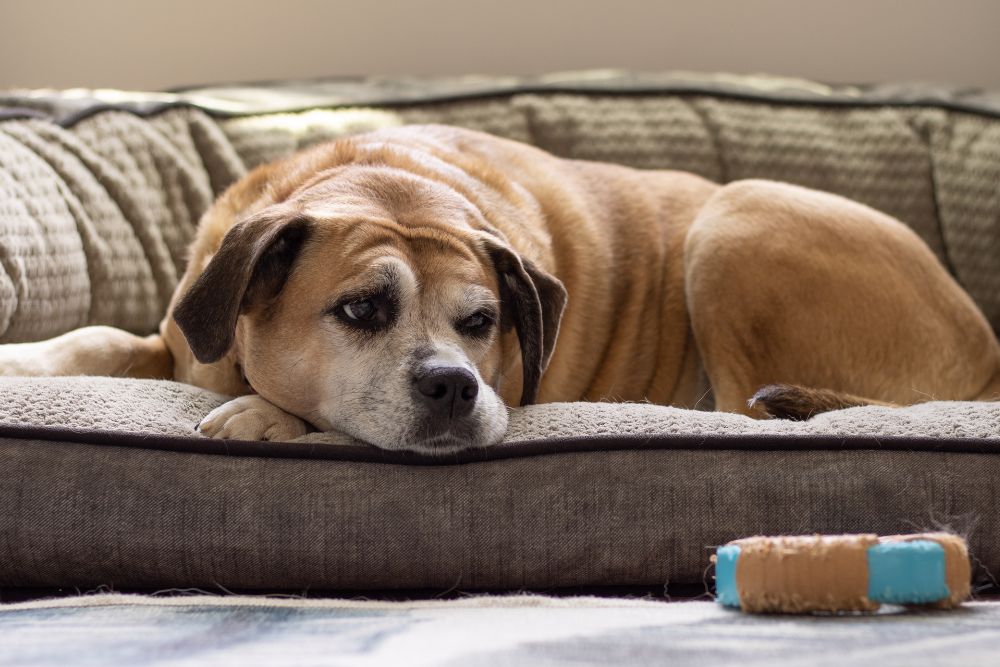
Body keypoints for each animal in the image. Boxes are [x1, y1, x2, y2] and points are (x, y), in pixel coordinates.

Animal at [1, 124, 1000, 454]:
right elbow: (98, 339)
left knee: (742, 412)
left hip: (733, 222)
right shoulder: (179, 330)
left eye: (482, 322)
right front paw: (22, 358)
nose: (454, 383)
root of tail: (986, 352)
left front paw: (265, 414)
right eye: (361, 309)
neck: (379, 178)